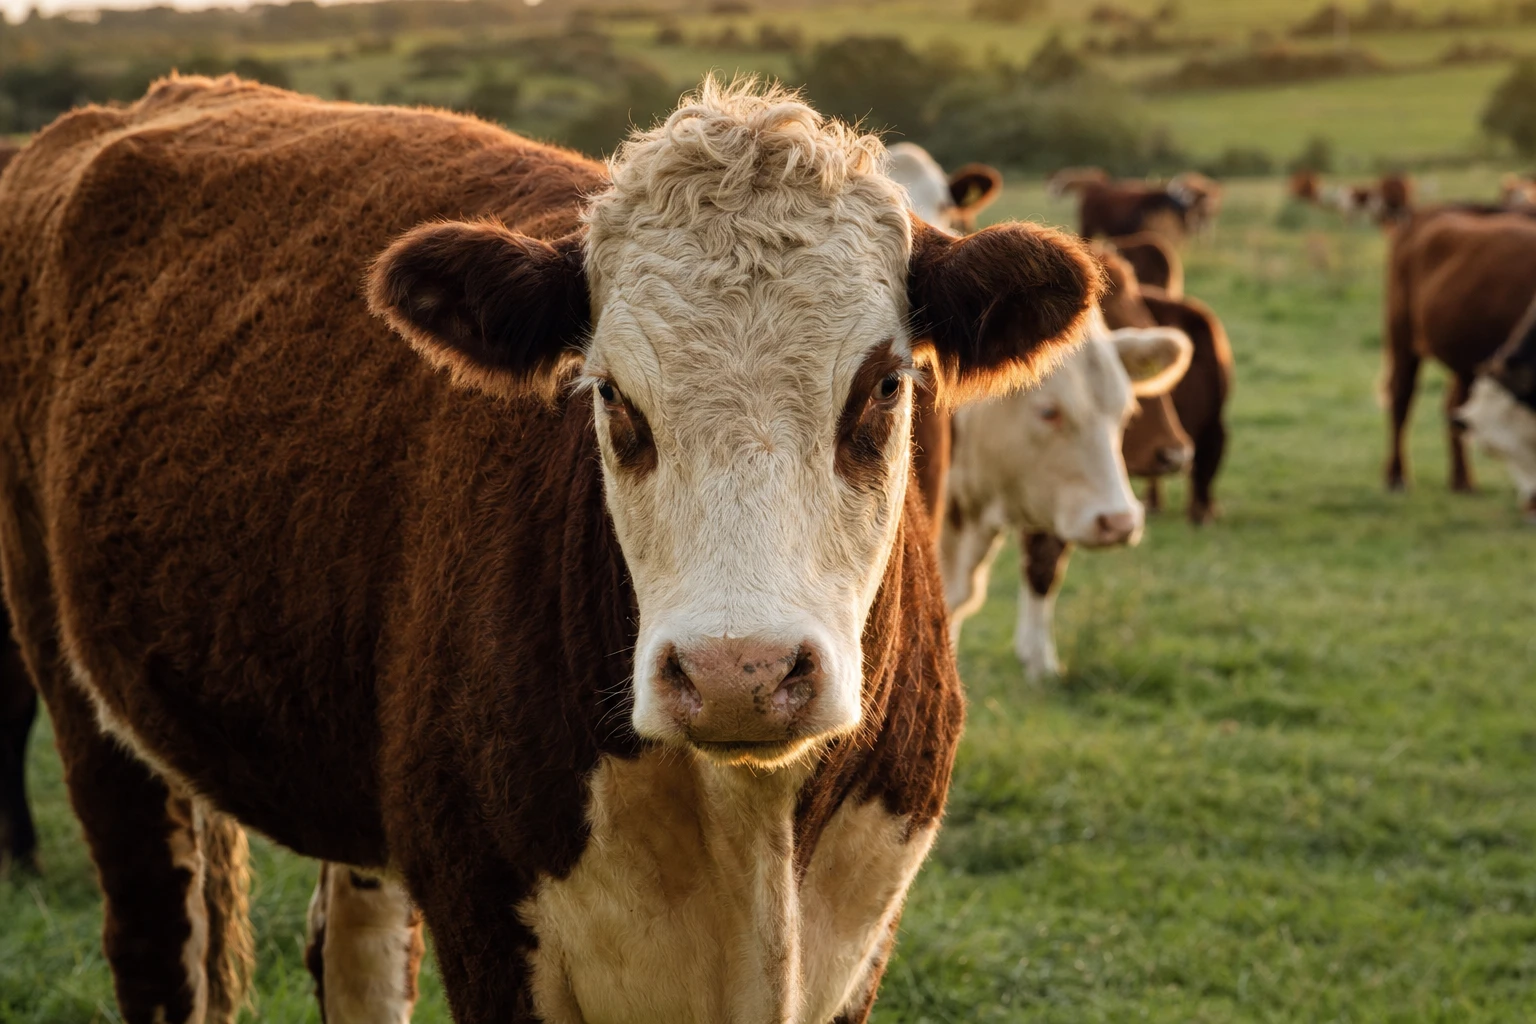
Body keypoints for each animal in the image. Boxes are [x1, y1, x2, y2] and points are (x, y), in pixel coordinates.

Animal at [0, 75, 1103, 1024]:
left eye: (883, 385)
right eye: (610, 395)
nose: (738, 674)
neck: (748, 833)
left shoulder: (858, 937)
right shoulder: (488, 921)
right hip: (86, 701)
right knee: (156, 943)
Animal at [1384, 208, 1536, 494]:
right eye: (1501, 451)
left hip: (1465, 364)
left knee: (1452, 408)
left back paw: (1461, 479)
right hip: (1402, 339)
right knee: (1401, 401)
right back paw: (1397, 477)